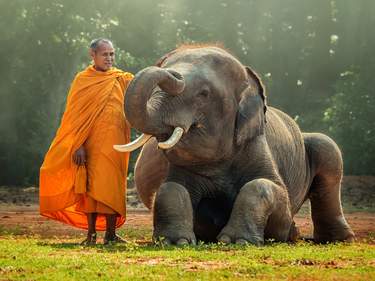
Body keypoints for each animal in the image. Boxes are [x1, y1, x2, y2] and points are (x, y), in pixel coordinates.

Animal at [114, 44, 356, 245]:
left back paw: (334, 239)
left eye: (204, 93)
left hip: (324, 151)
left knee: (328, 153)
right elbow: (171, 187)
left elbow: (269, 189)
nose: (171, 71)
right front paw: (175, 241)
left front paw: (236, 241)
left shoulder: (256, 145)